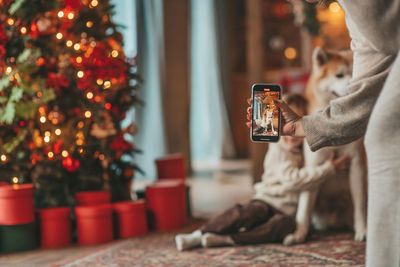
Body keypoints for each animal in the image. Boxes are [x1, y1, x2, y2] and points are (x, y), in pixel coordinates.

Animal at [282, 47, 368, 246]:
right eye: (339, 75)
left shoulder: (356, 165)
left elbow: (360, 204)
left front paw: (362, 230)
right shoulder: (313, 166)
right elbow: (304, 208)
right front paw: (299, 234)